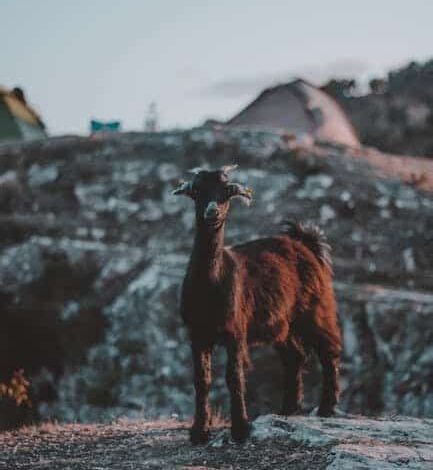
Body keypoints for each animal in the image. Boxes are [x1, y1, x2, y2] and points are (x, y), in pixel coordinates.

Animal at [172, 165, 340, 444]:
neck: (211, 285)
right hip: (283, 324)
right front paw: (199, 431)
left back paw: (327, 408)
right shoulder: (197, 334)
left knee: (329, 351)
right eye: (196, 190)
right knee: (295, 356)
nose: (212, 212)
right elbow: (202, 380)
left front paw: (241, 429)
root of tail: (305, 242)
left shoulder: (236, 331)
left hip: (315, 308)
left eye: (227, 191)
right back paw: (287, 409)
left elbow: (234, 377)